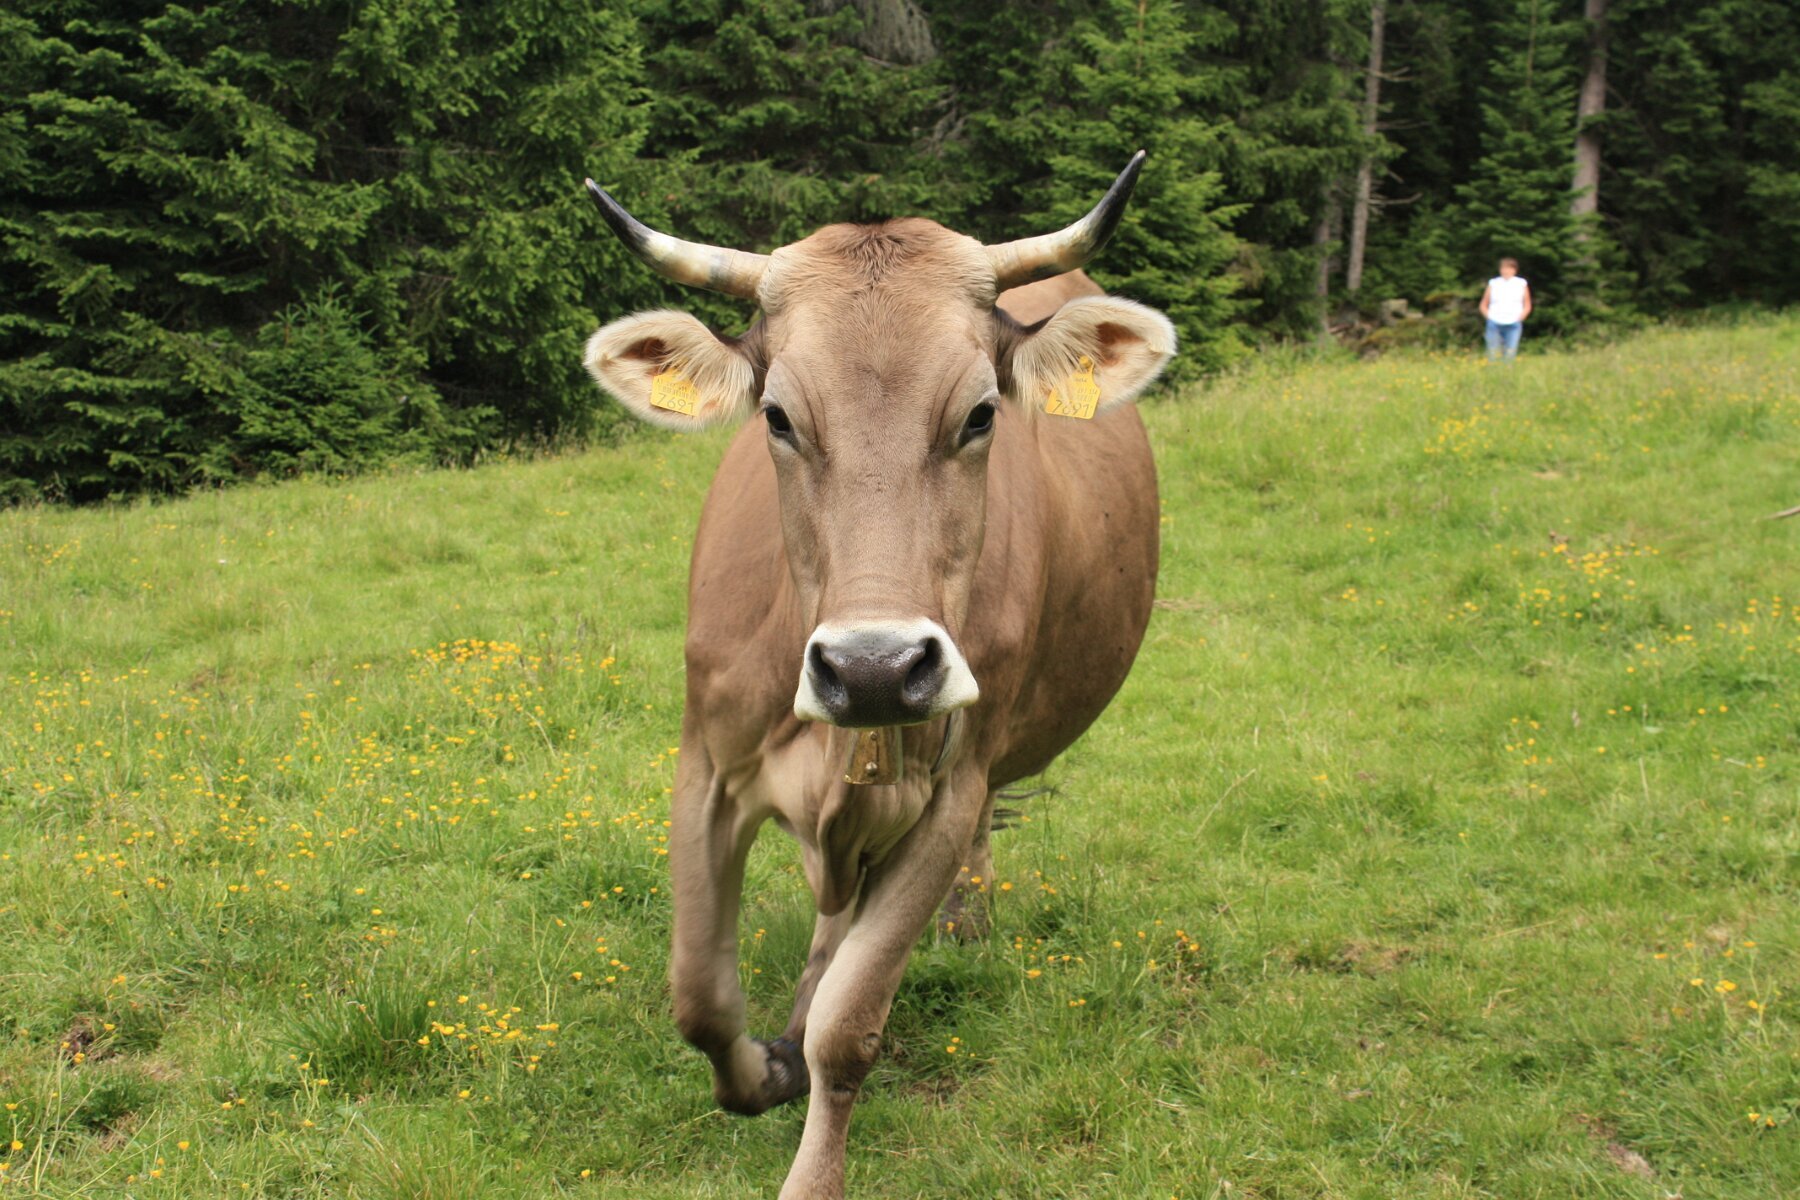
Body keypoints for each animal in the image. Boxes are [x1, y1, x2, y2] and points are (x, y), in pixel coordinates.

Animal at [580, 153, 1173, 1199]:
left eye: (980, 413)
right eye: (777, 416)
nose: (874, 669)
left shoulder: (948, 788)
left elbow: (848, 1031)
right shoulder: (706, 765)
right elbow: (700, 995)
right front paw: (761, 1066)